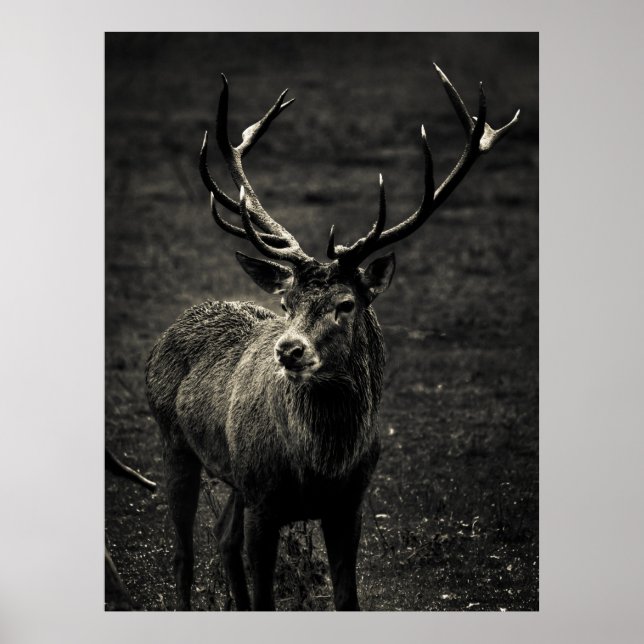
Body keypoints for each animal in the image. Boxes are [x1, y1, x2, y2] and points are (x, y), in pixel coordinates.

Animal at [145, 64, 519, 611]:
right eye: (286, 304)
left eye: (346, 304)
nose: (288, 349)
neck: (319, 466)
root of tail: (165, 335)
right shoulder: (265, 500)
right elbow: (265, 597)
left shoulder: (349, 503)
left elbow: (348, 597)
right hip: (173, 440)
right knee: (183, 554)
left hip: (234, 475)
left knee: (222, 535)